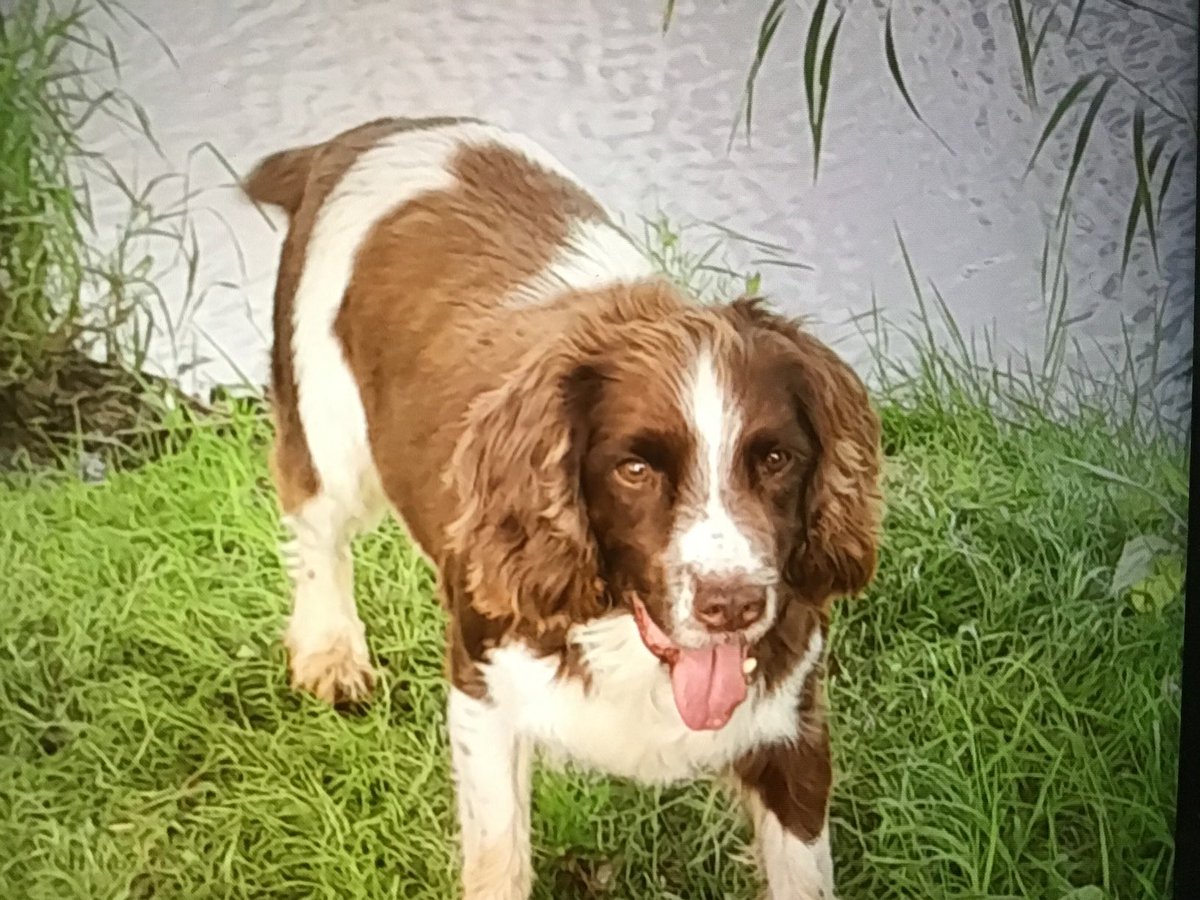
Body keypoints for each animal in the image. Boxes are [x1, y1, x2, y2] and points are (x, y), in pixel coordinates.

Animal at [243, 118, 883, 900]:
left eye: (775, 460)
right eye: (634, 469)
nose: (732, 605)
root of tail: (360, 135)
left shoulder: (791, 722)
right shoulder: (483, 688)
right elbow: (498, 858)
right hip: (330, 432)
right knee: (316, 524)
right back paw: (329, 652)